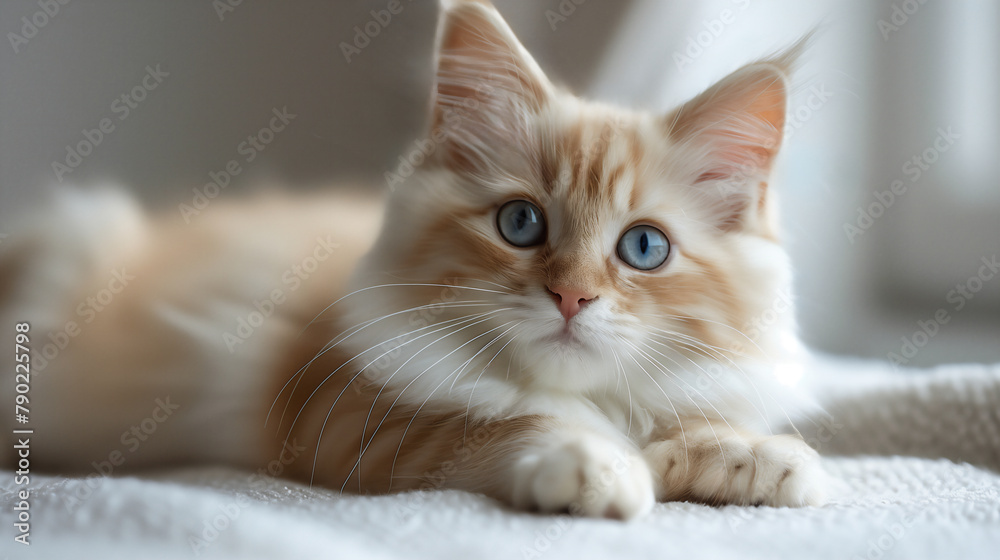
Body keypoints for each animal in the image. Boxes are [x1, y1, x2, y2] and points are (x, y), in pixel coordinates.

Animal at [3, 0, 824, 520]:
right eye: (521, 223)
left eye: (644, 248)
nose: (571, 298)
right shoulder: (345, 418)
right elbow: (506, 423)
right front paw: (595, 463)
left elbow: (690, 422)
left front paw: (758, 456)